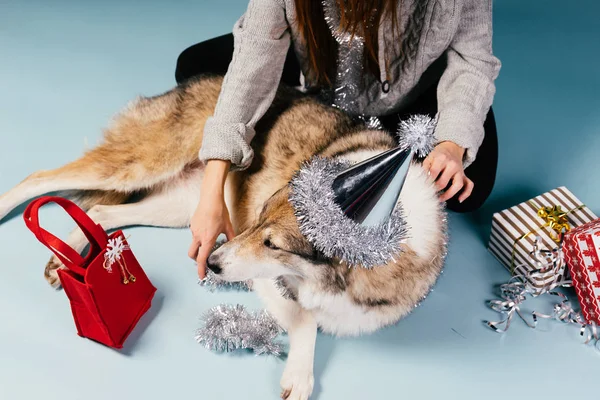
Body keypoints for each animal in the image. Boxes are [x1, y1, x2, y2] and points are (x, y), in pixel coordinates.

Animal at [0, 75, 446, 400]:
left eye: (273, 244)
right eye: (259, 215)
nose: (211, 265)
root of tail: (200, 81)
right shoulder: (268, 281)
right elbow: (305, 320)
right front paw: (300, 377)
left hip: (185, 211)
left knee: (99, 212)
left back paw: (65, 258)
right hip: (137, 167)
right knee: (38, 178)